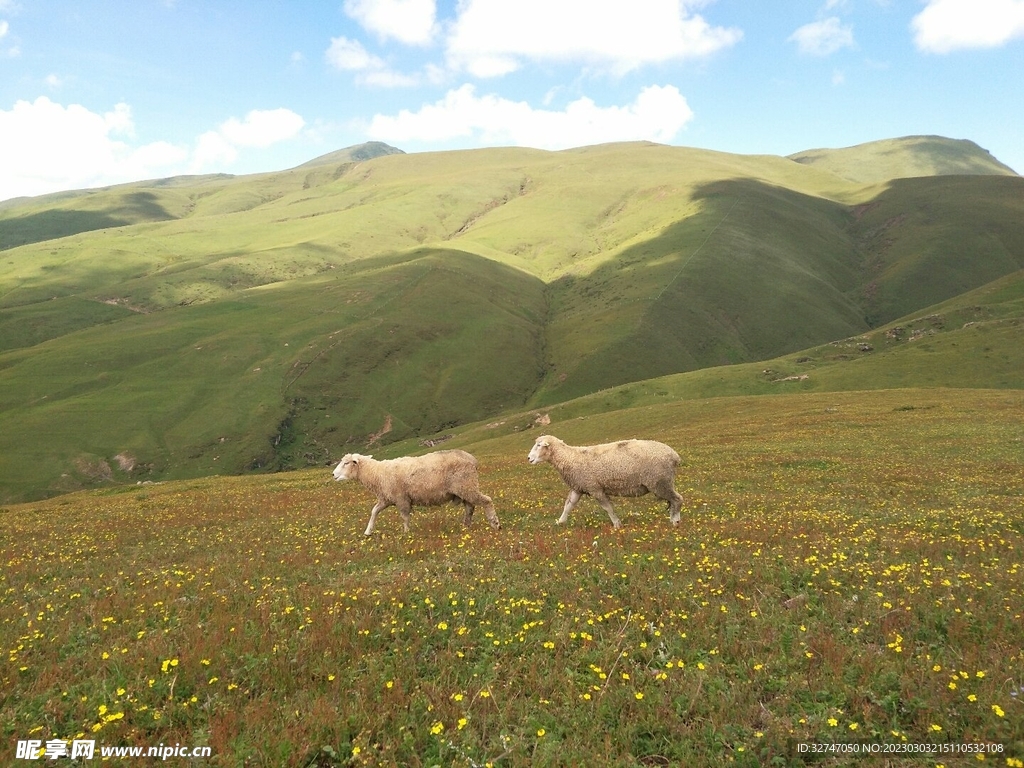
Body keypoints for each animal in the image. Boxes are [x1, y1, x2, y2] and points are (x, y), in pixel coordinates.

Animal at [331, 448, 499, 536]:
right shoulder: (386, 499)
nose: (333, 474)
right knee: (470, 507)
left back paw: (495, 523)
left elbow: (405, 516)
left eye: (346, 463)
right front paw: (368, 531)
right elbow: (374, 511)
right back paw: (466, 526)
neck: (377, 473)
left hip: (467, 485)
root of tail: (472, 459)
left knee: (487, 500)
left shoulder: (401, 498)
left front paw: (406, 533)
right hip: (464, 489)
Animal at [524, 436, 684, 532]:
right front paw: (560, 522)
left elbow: (608, 508)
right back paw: (672, 519)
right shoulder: (578, 487)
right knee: (673, 500)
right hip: (663, 482)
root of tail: (675, 456)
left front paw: (617, 524)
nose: (529, 458)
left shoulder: (595, 488)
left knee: (677, 499)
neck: (569, 457)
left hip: (659, 482)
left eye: (539, 445)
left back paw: (675, 522)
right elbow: (568, 506)